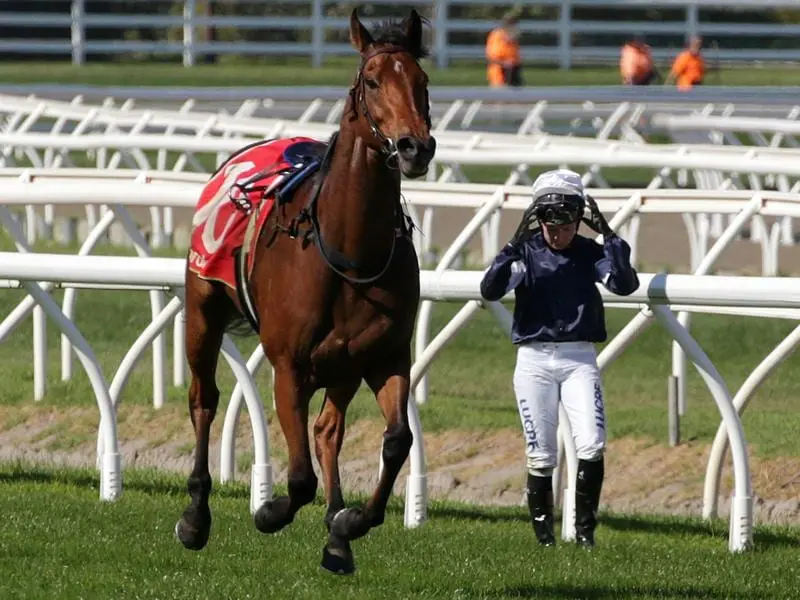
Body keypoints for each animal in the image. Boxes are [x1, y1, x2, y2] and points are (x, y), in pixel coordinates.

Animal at [176, 5, 438, 576]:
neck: (348, 250)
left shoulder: (385, 355)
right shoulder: (288, 366)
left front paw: (350, 522)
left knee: (327, 430)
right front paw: (268, 511)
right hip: (202, 310)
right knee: (204, 400)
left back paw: (337, 536)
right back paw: (195, 516)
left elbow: (397, 440)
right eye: (371, 80)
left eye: (423, 81)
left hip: (343, 366)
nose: (415, 146)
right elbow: (298, 479)